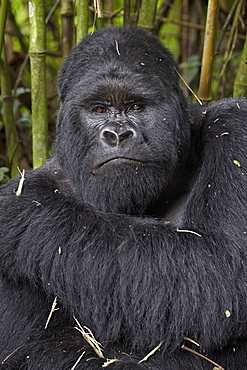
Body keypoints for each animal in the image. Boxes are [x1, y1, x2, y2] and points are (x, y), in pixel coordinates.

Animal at [0, 27, 247, 368]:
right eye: (99, 109)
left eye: (136, 108)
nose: (118, 134)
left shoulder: (235, 127)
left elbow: (220, 267)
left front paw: (24, 212)